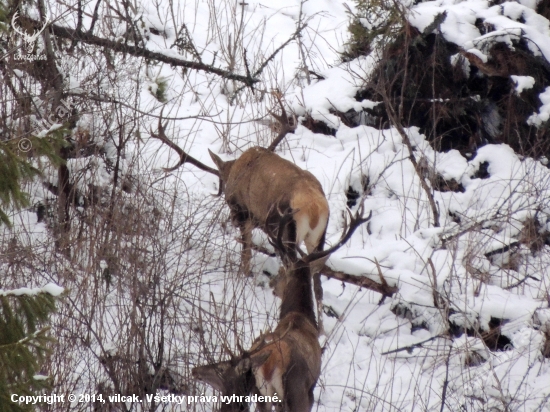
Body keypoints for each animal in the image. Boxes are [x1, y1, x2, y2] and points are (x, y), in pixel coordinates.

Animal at [192, 208, 374, 410]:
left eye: (281, 272)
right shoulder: (310, 388)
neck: (299, 316)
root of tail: (270, 364)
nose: (273, 284)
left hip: (261, 394)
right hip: (296, 392)